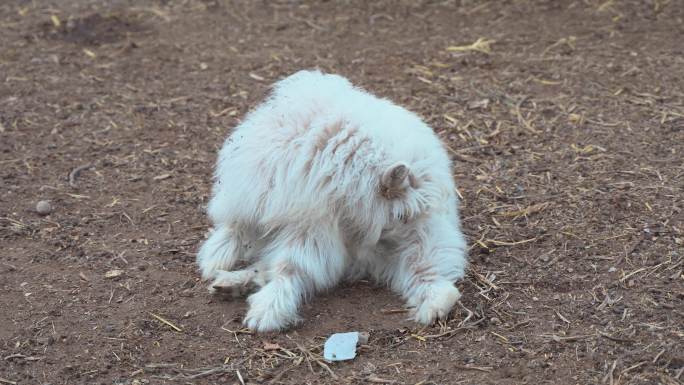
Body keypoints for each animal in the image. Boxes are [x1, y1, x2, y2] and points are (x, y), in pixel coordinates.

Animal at [195, 70, 468, 332]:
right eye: (401, 216)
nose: (390, 240)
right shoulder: (260, 194)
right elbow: (236, 227)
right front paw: (216, 257)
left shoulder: (311, 229)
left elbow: (289, 267)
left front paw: (267, 311)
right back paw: (230, 282)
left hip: (421, 250)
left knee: (437, 281)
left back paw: (434, 304)